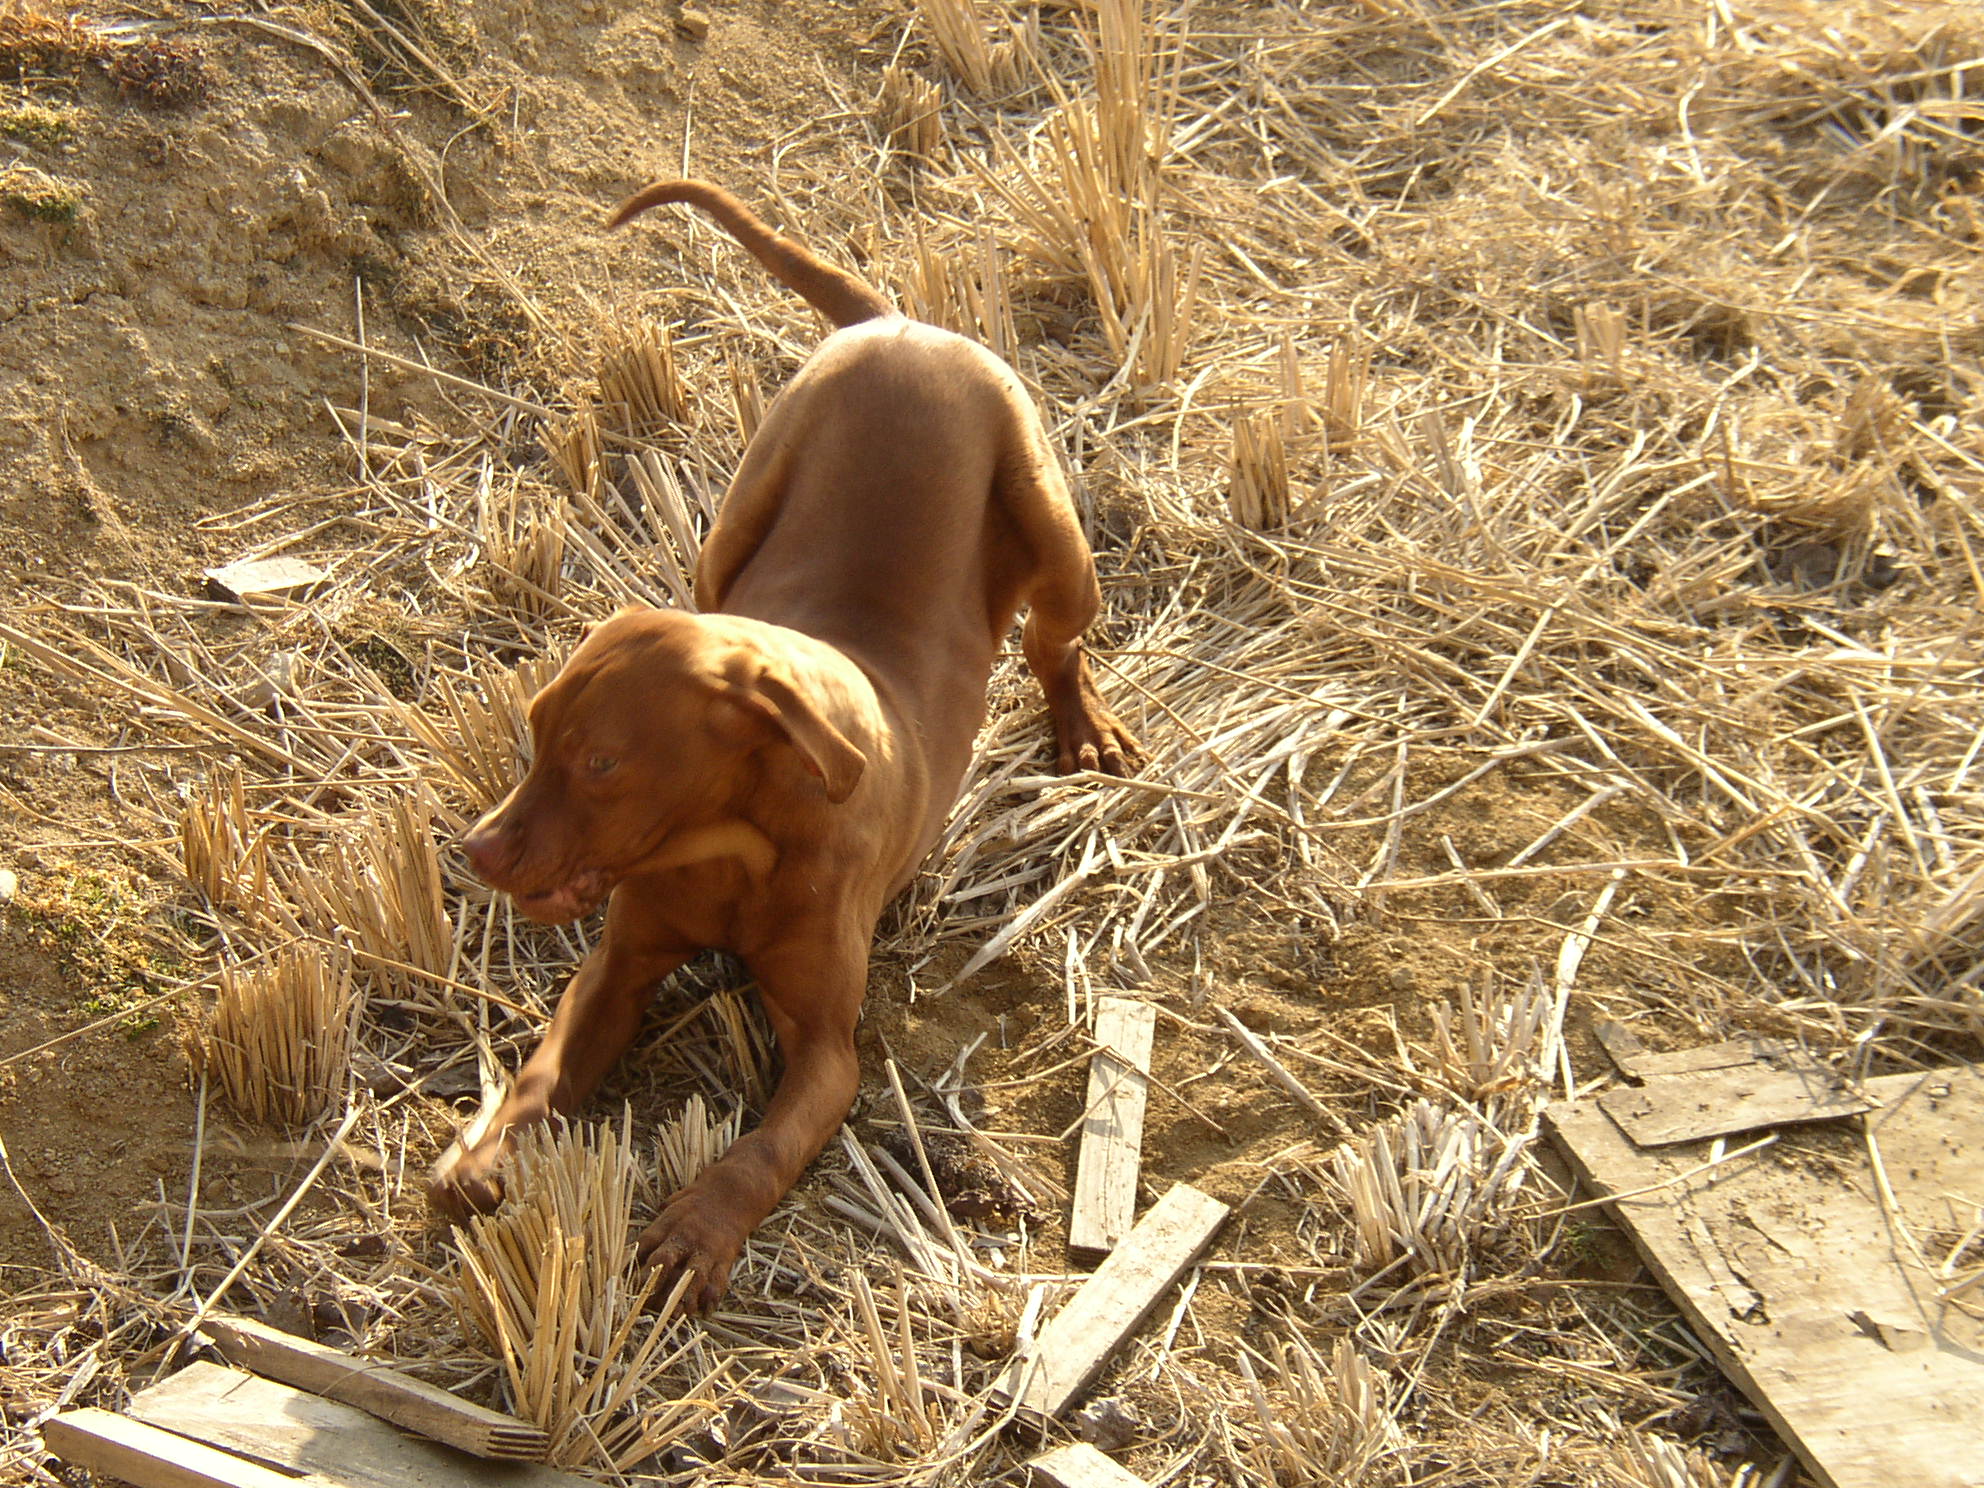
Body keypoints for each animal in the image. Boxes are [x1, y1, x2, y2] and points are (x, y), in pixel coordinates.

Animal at [428, 180, 1138, 1311]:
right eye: (532, 733)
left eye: (602, 762)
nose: (475, 851)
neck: (733, 843)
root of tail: (898, 322)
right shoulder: (618, 968)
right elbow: (543, 1073)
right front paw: (488, 1148)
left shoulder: (828, 1051)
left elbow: (762, 1147)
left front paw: (697, 1231)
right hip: (740, 514)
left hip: (1056, 531)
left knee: (1053, 640)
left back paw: (1085, 729)